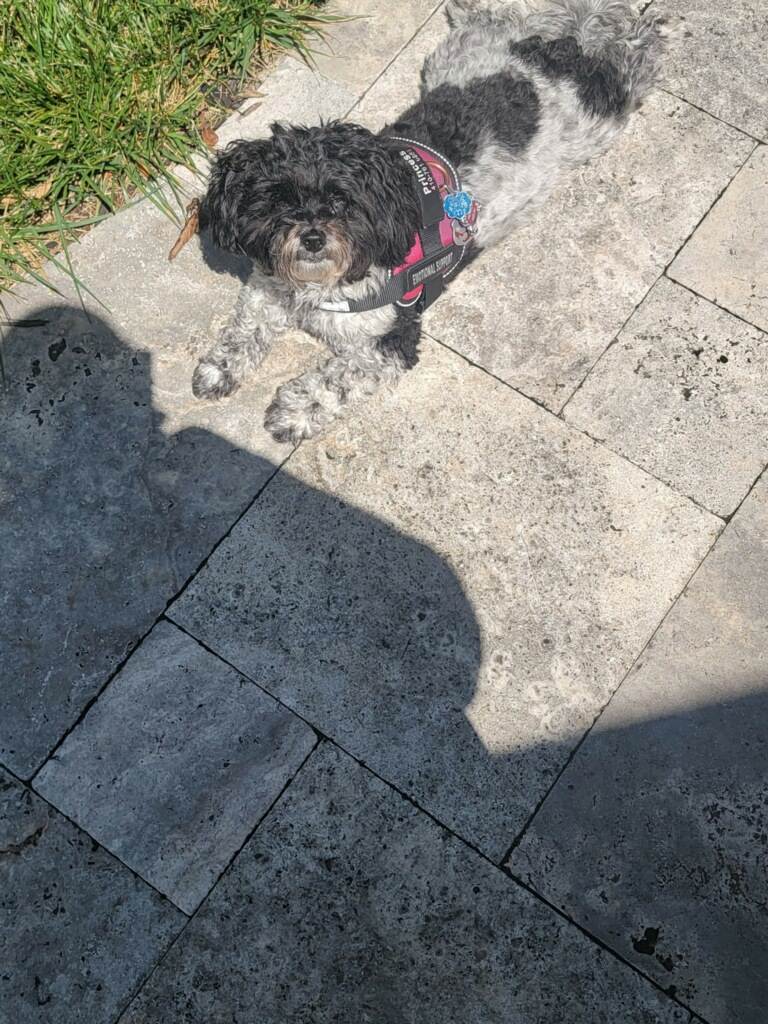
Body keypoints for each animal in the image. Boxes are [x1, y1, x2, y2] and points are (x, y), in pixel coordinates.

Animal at [194, 0, 671, 443]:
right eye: (277, 201)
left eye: (342, 201)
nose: (312, 237)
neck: (318, 288)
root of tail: (561, 51)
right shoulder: (269, 287)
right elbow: (246, 326)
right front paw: (220, 367)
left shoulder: (392, 338)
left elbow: (336, 379)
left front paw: (293, 411)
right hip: (454, 56)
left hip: (603, 115)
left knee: (630, 54)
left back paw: (648, 28)